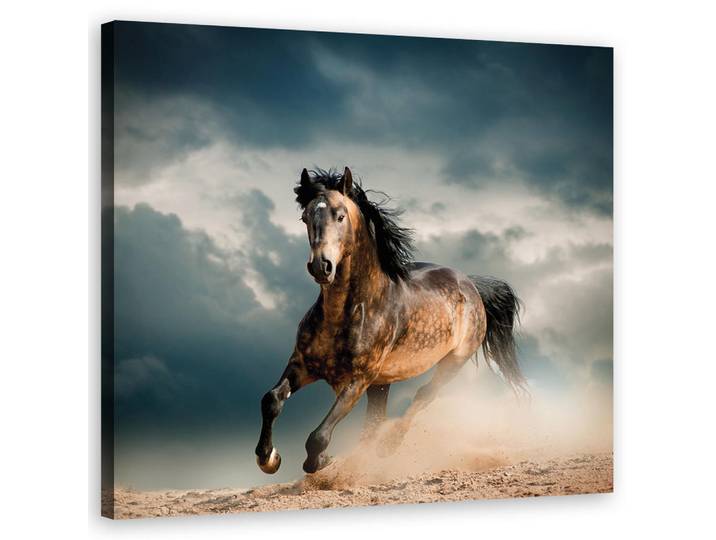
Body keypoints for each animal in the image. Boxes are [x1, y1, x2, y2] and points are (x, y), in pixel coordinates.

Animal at [255, 167, 526, 475]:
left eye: (340, 215)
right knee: (374, 423)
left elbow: (318, 437)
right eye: (305, 217)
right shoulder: (302, 365)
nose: (321, 266)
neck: (345, 314)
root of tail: (471, 284)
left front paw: (322, 461)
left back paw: (388, 445)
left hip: (453, 362)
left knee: (423, 396)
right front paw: (269, 458)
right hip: (381, 384)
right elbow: (271, 400)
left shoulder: (358, 380)